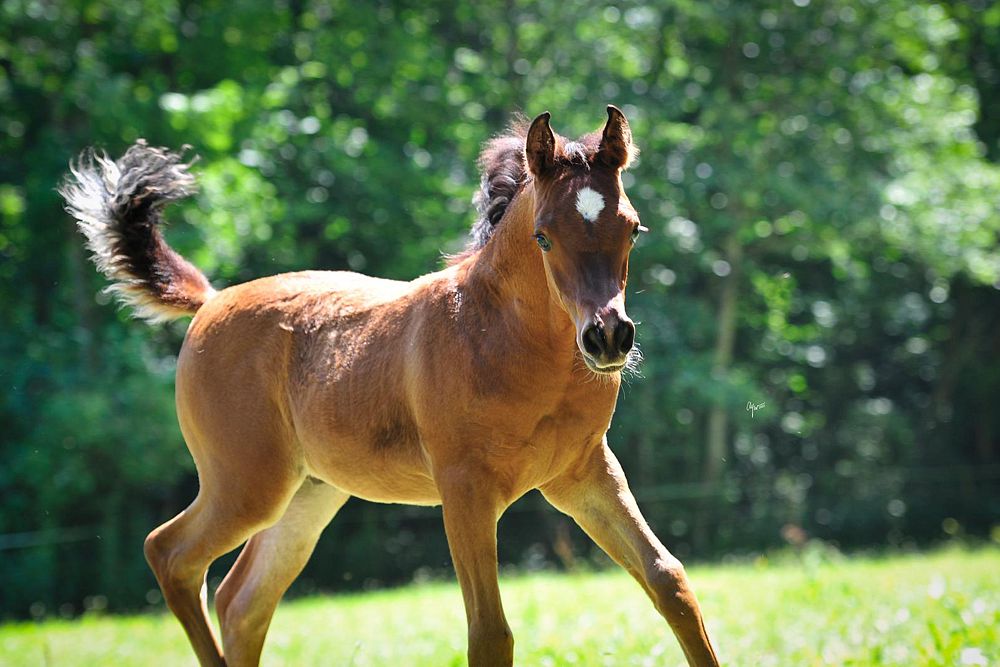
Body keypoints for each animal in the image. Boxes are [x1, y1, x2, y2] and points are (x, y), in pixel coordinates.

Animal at [61, 106, 720, 666]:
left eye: (632, 229)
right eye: (544, 235)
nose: (608, 337)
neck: (506, 341)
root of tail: (212, 301)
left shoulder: (582, 474)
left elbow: (670, 581)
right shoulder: (465, 489)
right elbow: (490, 633)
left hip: (308, 495)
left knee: (241, 601)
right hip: (246, 485)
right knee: (170, 555)